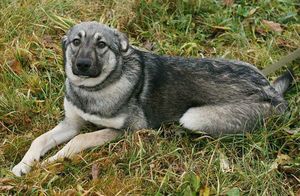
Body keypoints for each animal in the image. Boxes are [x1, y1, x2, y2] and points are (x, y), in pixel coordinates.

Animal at [12, 21, 292, 176]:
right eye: (75, 42)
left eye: (102, 45)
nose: (81, 65)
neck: (94, 89)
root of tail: (271, 92)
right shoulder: (70, 123)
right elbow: (39, 140)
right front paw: (24, 165)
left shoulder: (126, 130)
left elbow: (80, 140)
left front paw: (52, 162)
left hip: (193, 117)